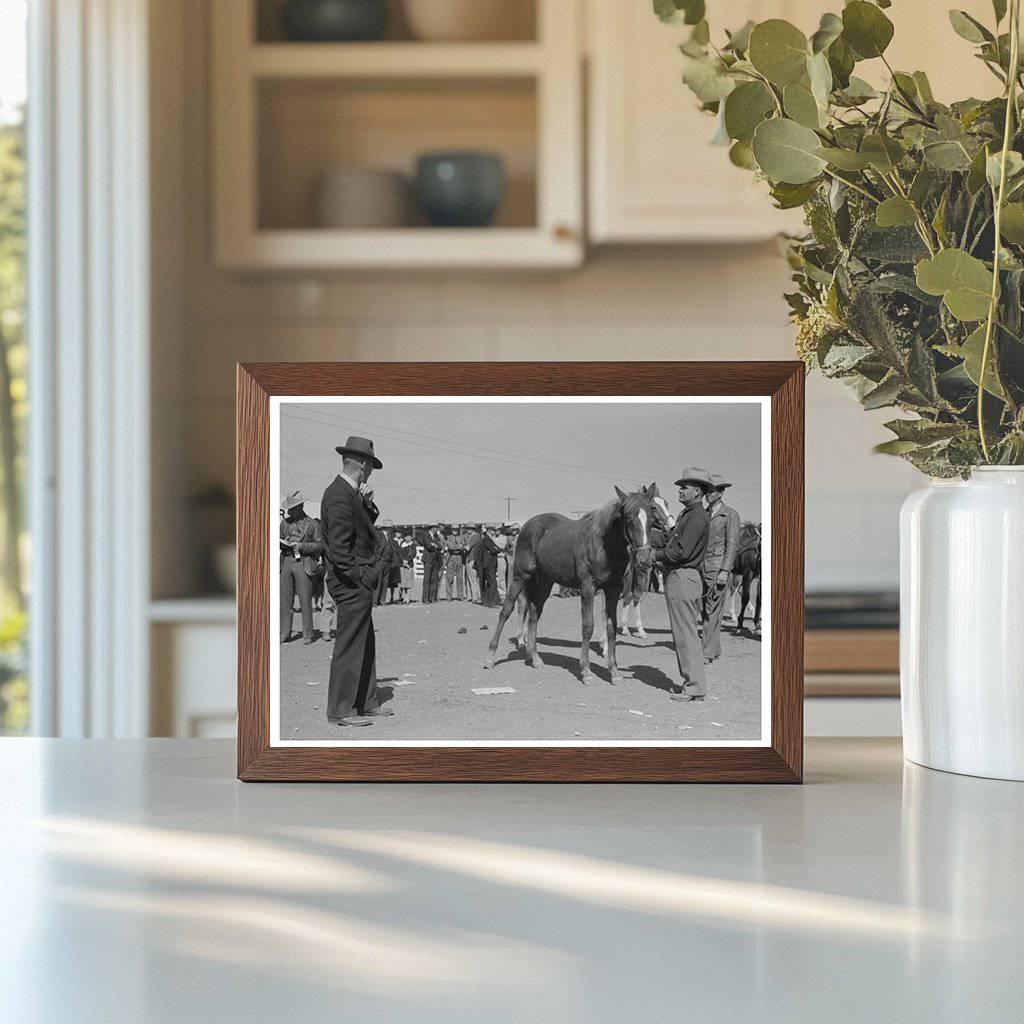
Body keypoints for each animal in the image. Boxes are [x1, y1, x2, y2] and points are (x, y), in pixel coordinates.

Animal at [485, 483, 655, 684]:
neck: (603, 546)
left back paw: (535, 657)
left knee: (534, 612)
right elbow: (587, 626)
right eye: (628, 519)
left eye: (651, 518)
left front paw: (614, 672)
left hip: (545, 582)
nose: (645, 560)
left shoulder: (612, 590)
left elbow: (611, 628)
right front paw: (586, 671)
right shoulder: (588, 588)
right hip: (521, 575)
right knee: (507, 610)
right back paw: (490, 657)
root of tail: (527, 525)